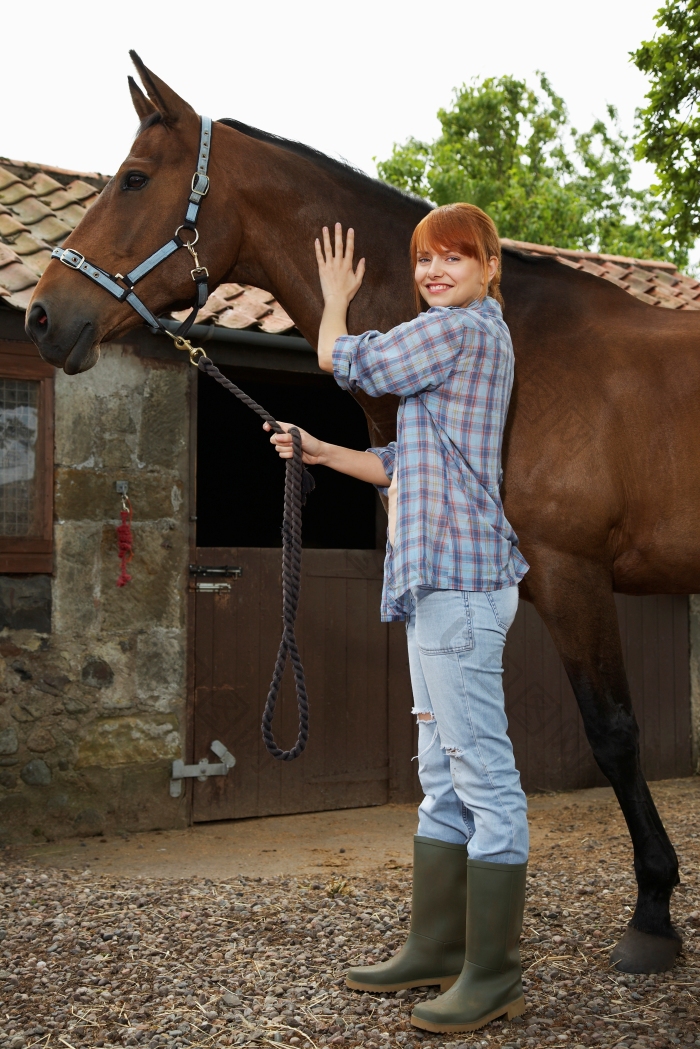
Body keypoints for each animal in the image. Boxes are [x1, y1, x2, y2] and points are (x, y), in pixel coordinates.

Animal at [24, 53, 700, 976]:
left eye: (133, 178)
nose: (42, 316)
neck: (524, 349)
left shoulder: (573, 577)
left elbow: (616, 734)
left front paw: (653, 914)